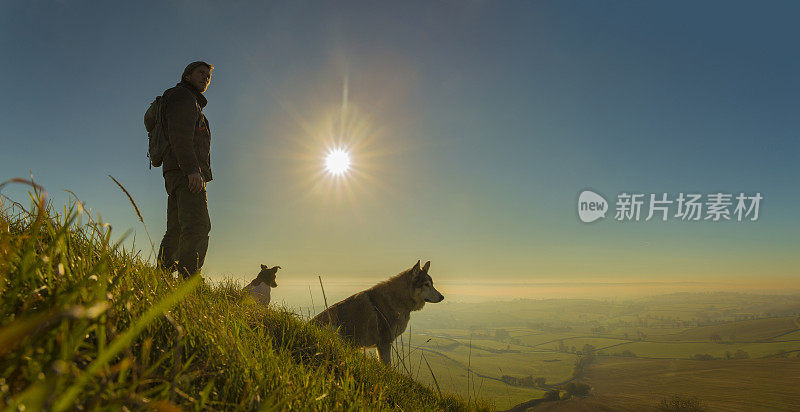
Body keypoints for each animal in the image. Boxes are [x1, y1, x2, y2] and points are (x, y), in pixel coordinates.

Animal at [310, 260, 444, 366]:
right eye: (426, 284)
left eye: (432, 284)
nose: (442, 297)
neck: (399, 299)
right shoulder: (384, 343)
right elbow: (387, 366)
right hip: (336, 331)